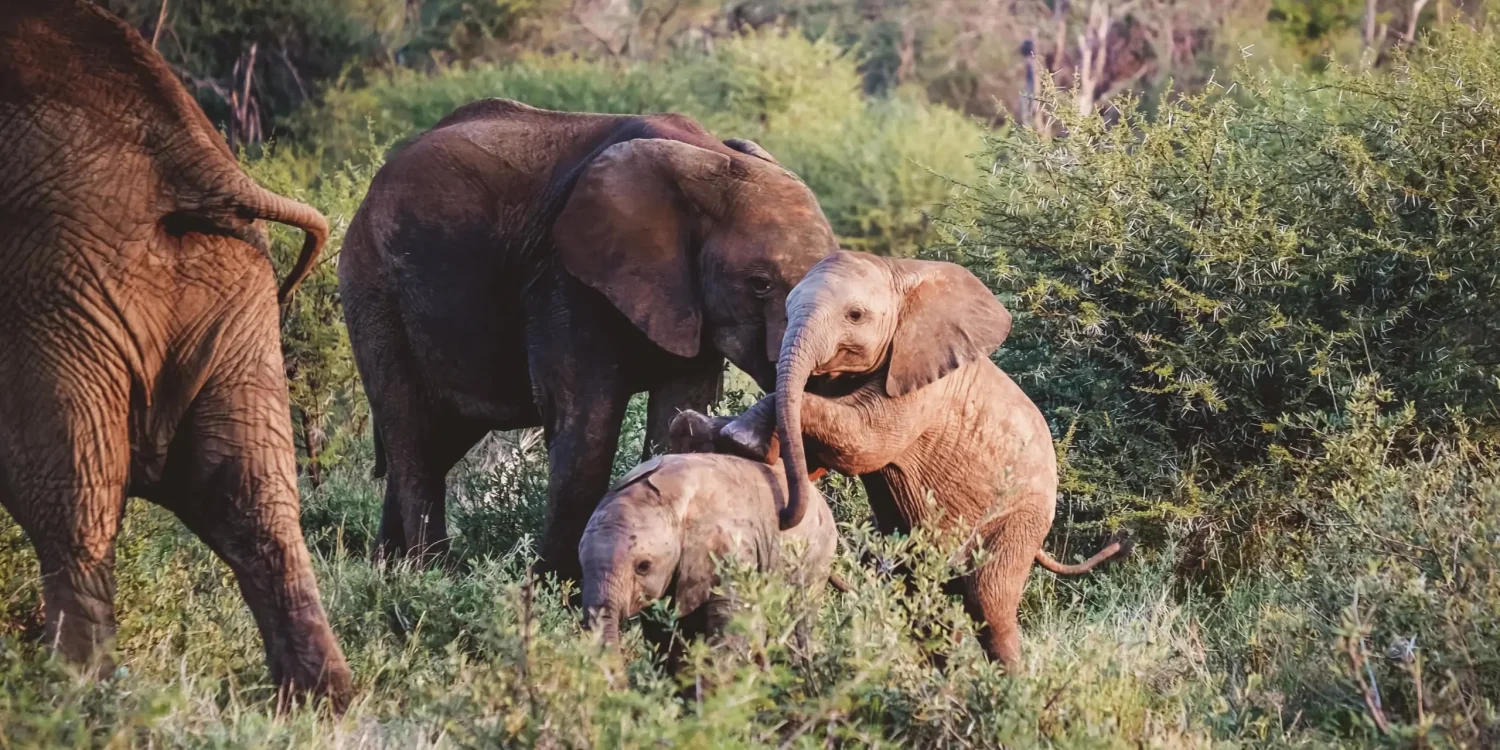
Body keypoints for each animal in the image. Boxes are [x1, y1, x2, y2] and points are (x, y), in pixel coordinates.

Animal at [0, 1, 351, 708]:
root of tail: (198, 167)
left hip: (51, 294)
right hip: (235, 293)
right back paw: (321, 707)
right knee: (258, 501)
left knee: (70, 507)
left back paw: (71, 700)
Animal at [338, 99, 837, 577]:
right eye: (760, 284)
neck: (709, 159)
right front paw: (554, 589)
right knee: (414, 439)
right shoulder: (565, 278)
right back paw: (430, 576)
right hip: (375, 288)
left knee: (437, 440)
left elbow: (674, 414)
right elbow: (586, 429)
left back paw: (389, 569)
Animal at [720, 250, 1131, 670]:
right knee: (922, 600)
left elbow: (864, 441)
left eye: (855, 315)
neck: (900, 274)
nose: (786, 515)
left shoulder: (926, 388)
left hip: (1020, 520)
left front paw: (737, 436)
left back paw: (1006, 681)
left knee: (990, 605)